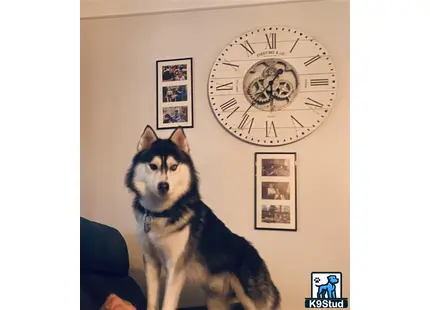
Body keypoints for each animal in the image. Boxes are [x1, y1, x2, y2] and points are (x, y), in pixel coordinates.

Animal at [124, 126, 280, 310]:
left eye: (174, 167)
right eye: (153, 166)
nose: (163, 186)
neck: (162, 212)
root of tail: (259, 259)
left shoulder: (175, 268)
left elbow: (167, 303)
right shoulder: (151, 263)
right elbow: (152, 302)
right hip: (215, 300)